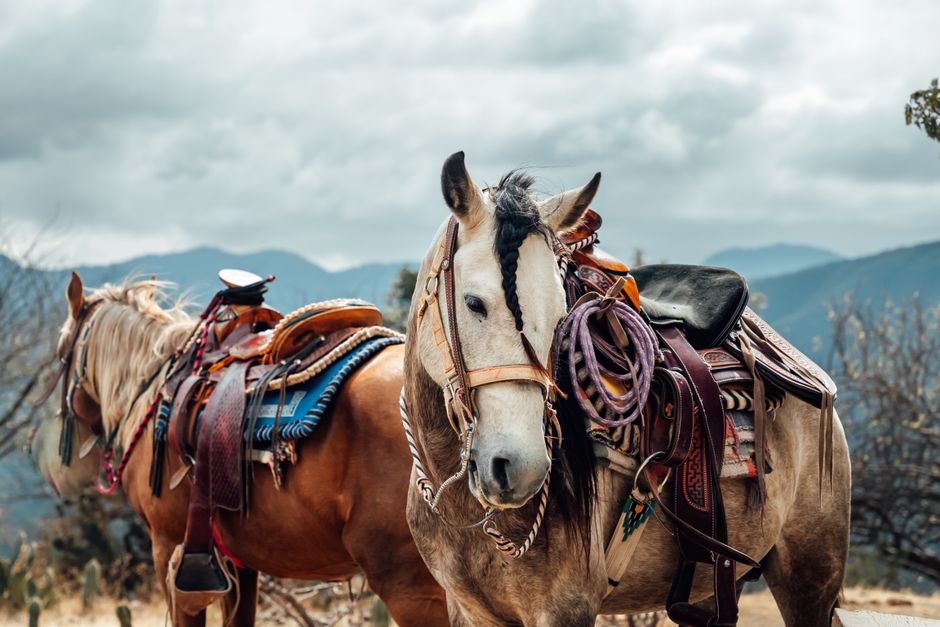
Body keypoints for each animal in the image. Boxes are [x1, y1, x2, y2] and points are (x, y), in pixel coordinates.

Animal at [401, 151, 851, 626]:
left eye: (560, 314)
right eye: (474, 303)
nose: (520, 469)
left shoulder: (566, 608)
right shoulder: (467, 609)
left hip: (809, 577)